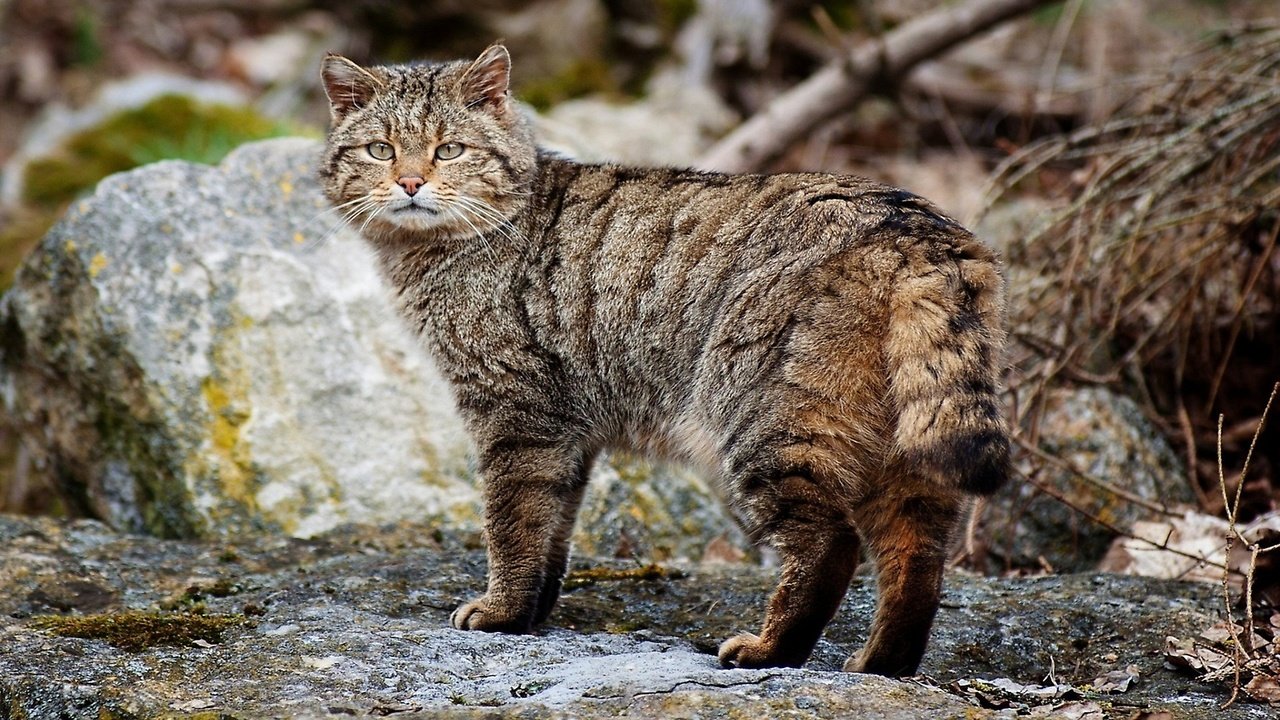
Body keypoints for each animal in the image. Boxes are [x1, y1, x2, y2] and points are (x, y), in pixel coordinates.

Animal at [320, 44, 1008, 671]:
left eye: (449, 150)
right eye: (380, 150)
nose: (410, 182)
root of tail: (919, 231)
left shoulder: (517, 415)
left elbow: (513, 521)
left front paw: (502, 611)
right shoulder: (570, 431)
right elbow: (554, 527)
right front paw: (533, 611)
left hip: (764, 422)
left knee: (831, 544)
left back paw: (770, 650)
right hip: (903, 450)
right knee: (917, 557)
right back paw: (880, 664)